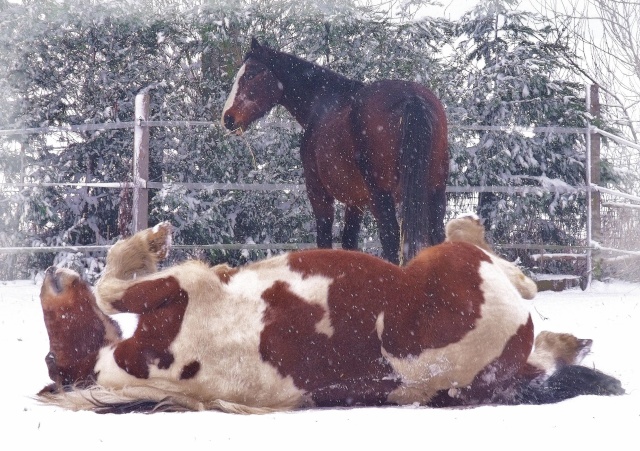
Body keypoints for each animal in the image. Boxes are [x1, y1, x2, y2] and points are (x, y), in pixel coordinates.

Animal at [37, 219, 624, 414]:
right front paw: (151, 243)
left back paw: (576, 345)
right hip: (456, 262)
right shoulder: (181, 289)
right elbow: (112, 289)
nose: (51, 273)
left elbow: (111, 290)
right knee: (492, 255)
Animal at [222, 39, 448, 264]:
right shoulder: (356, 201)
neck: (322, 105)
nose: (228, 118)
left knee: (390, 239)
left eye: (250, 74)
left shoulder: (319, 193)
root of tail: (412, 98)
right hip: (434, 192)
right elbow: (349, 242)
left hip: (381, 196)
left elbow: (325, 241)